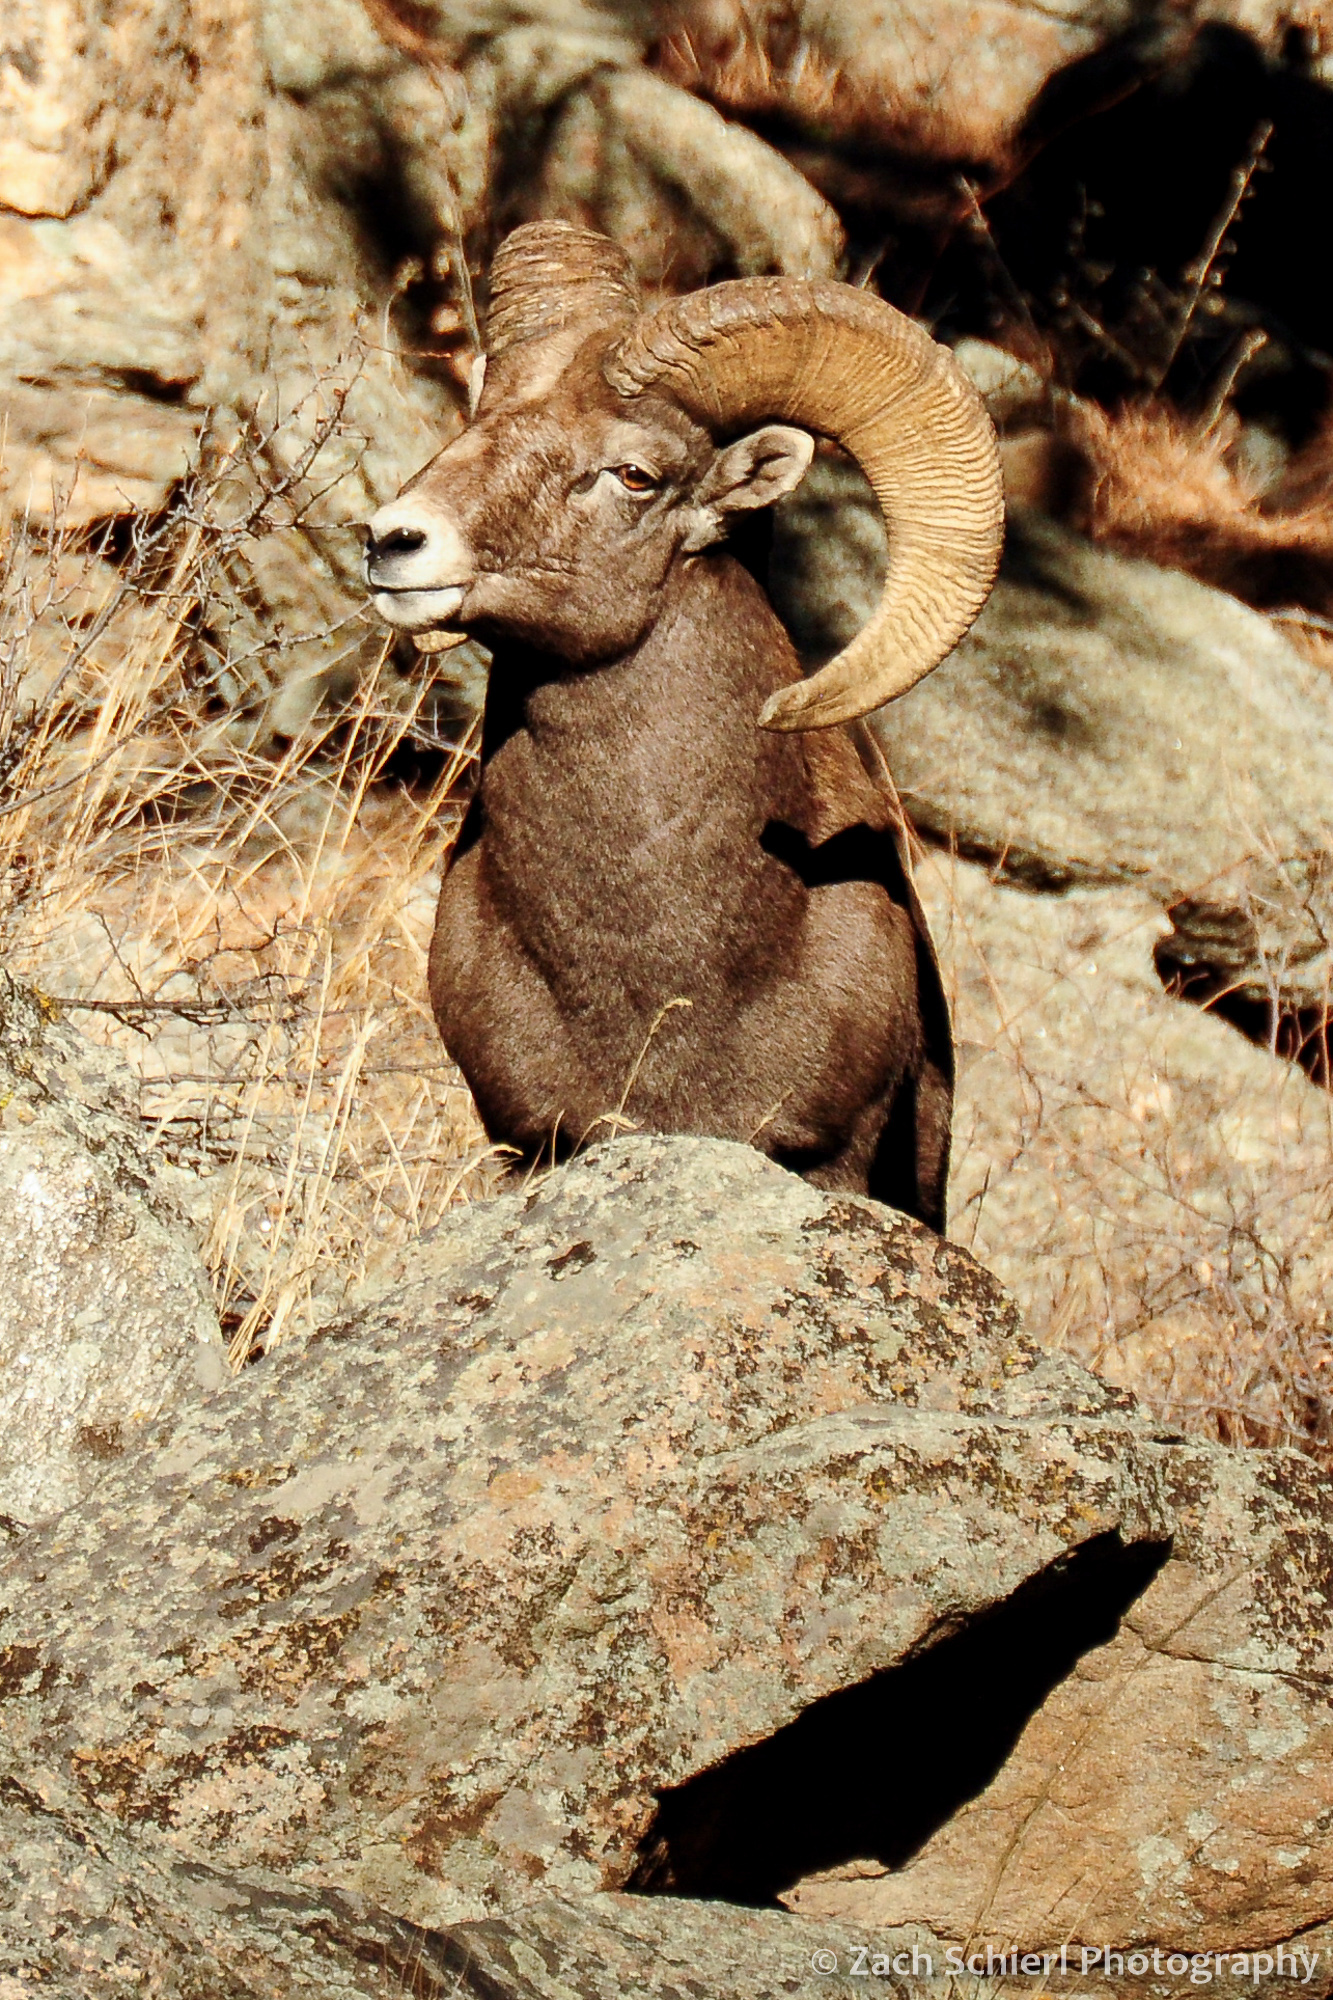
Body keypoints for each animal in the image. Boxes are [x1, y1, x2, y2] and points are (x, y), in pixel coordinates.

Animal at [364, 223, 1002, 1228]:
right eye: (476, 417)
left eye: (634, 474)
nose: (393, 541)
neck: (660, 961)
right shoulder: (530, 1144)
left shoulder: (827, 1157)